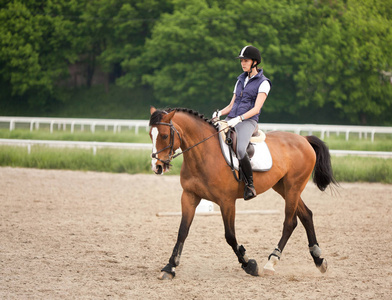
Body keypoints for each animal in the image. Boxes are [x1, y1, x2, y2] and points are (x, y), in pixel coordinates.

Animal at [149, 106, 336, 278]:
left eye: (164, 135)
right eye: (151, 135)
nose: (157, 167)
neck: (204, 153)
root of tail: (303, 139)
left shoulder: (227, 202)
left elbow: (230, 235)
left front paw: (249, 264)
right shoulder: (189, 196)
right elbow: (182, 231)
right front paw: (169, 267)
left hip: (293, 187)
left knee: (290, 222)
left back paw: (271, 261)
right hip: (283, 187)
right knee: (306, 215)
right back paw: (319, 260)